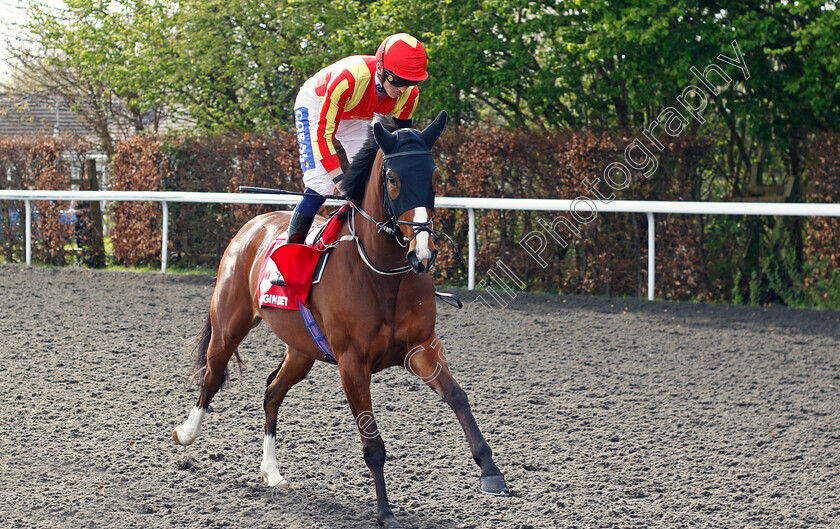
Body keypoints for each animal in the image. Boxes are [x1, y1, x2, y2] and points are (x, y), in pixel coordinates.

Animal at [174, 111, 508, 528]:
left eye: (433, 176)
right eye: (393, 178)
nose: (424, 254)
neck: (382, 273)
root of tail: (254, 224)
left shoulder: (422, 347)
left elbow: (458, 396)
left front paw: (491, 472)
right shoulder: (352, 363)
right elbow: (373, 442)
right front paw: (385, 513)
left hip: (301, 349)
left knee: (272, 390)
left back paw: (272, 471)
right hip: (229, 324)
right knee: (212, 376)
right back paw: (186, 433)